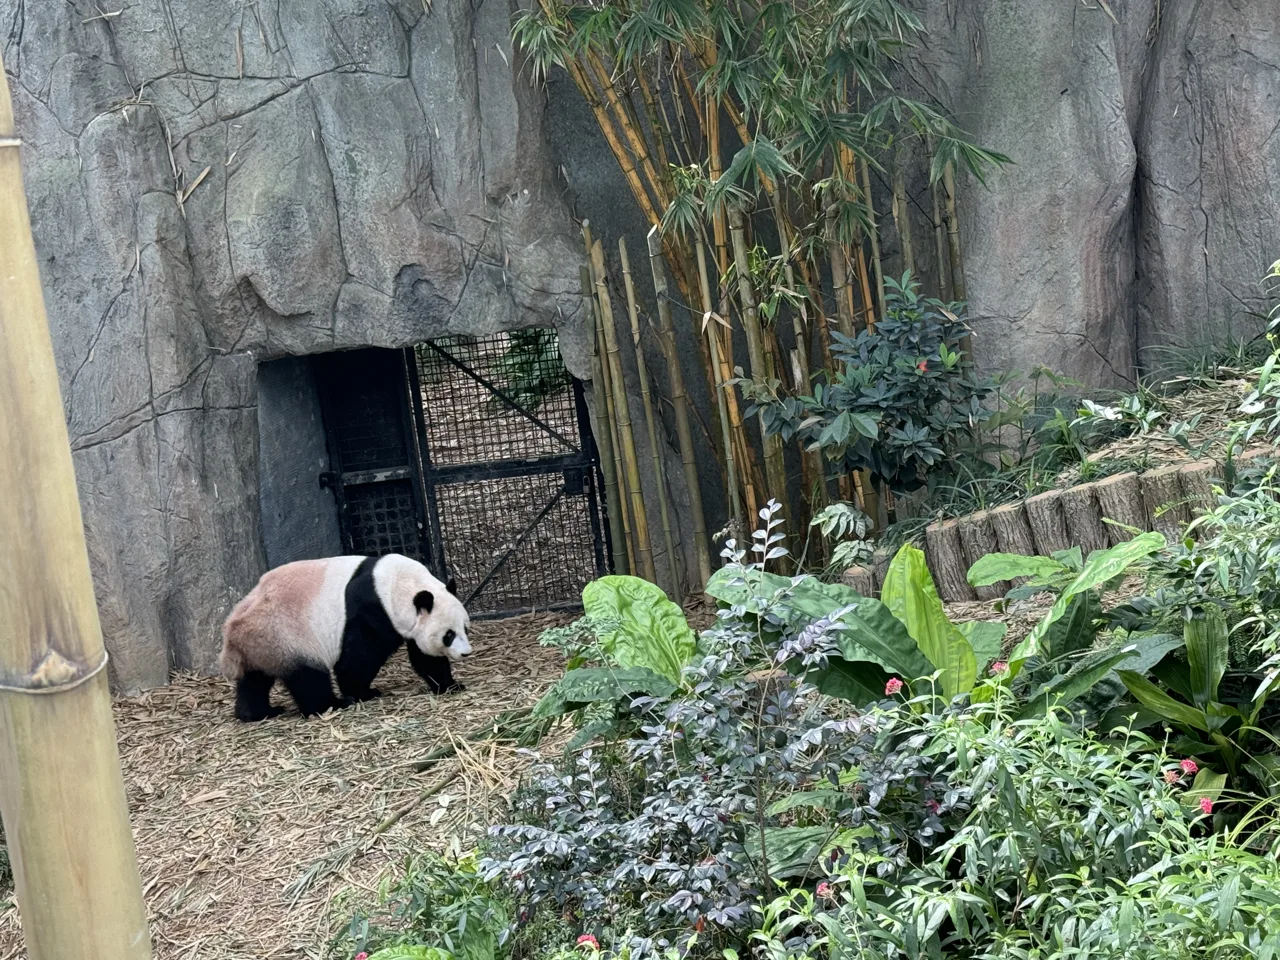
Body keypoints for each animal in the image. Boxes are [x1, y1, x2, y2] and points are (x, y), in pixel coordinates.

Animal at [219, 553, 471, 722]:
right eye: (449, 635)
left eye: (465, 629)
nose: (466, 653)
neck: (396, 585)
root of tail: (233, 630)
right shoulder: (372, 610)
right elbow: (359, 657)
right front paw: (361, 693)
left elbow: (425, 657)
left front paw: (450, 685)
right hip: (284, 635)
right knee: (308, 678)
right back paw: (333, 704)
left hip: (260, 647)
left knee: (254, 680)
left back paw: (256, 712)